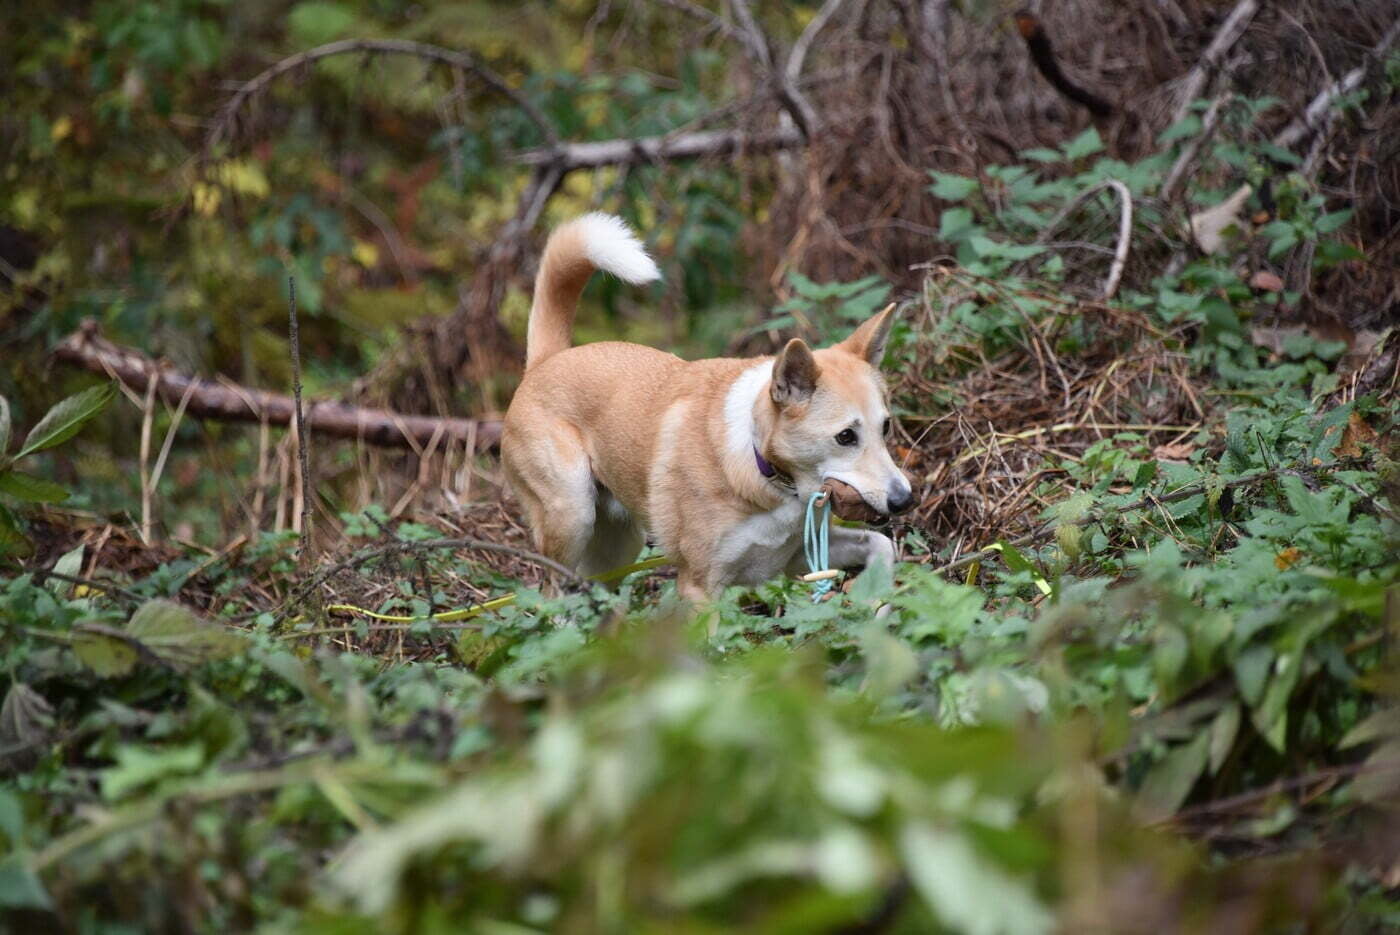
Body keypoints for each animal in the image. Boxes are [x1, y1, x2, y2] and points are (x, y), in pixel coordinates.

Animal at [506, 211, 918, 599]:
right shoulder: (699, 586)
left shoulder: (798, 557)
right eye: (845, 437)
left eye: (885, 428)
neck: (759, 462)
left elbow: (882, 545)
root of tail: (547, 361)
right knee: (554, 594)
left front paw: (877, 603)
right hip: (573, 516)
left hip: (618, 547)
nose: (904, 501)